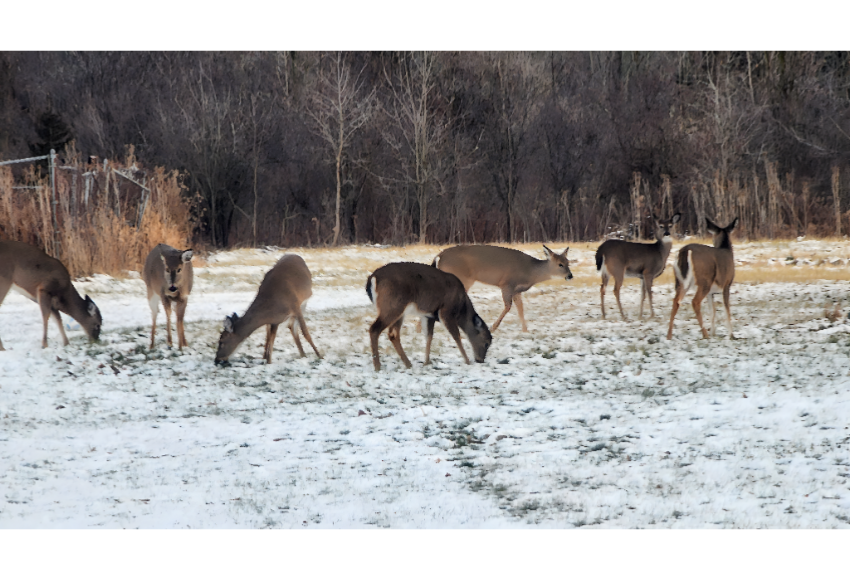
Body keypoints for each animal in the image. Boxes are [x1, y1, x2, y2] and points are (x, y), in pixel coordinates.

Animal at [429, 245, 572, 332]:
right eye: (560, 264)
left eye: (568, 262)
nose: (570, 276)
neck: (530, 272)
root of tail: (439, 256)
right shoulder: (506, 284)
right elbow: (508, 306)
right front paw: (493, 327)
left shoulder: (517, 290)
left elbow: (520, 307)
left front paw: (525, 330)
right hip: (461, 279)